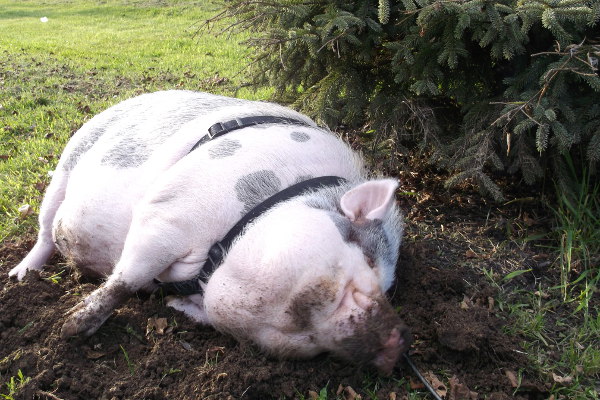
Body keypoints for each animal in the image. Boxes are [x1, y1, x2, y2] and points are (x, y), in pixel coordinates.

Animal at [10, 90, 412, 376]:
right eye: (367, 258)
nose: (398, 341)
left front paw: (171, 307)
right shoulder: (168, 214)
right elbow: (126, 279)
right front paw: (69, 330)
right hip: (68, 161)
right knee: (46, 230)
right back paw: (20, 276)